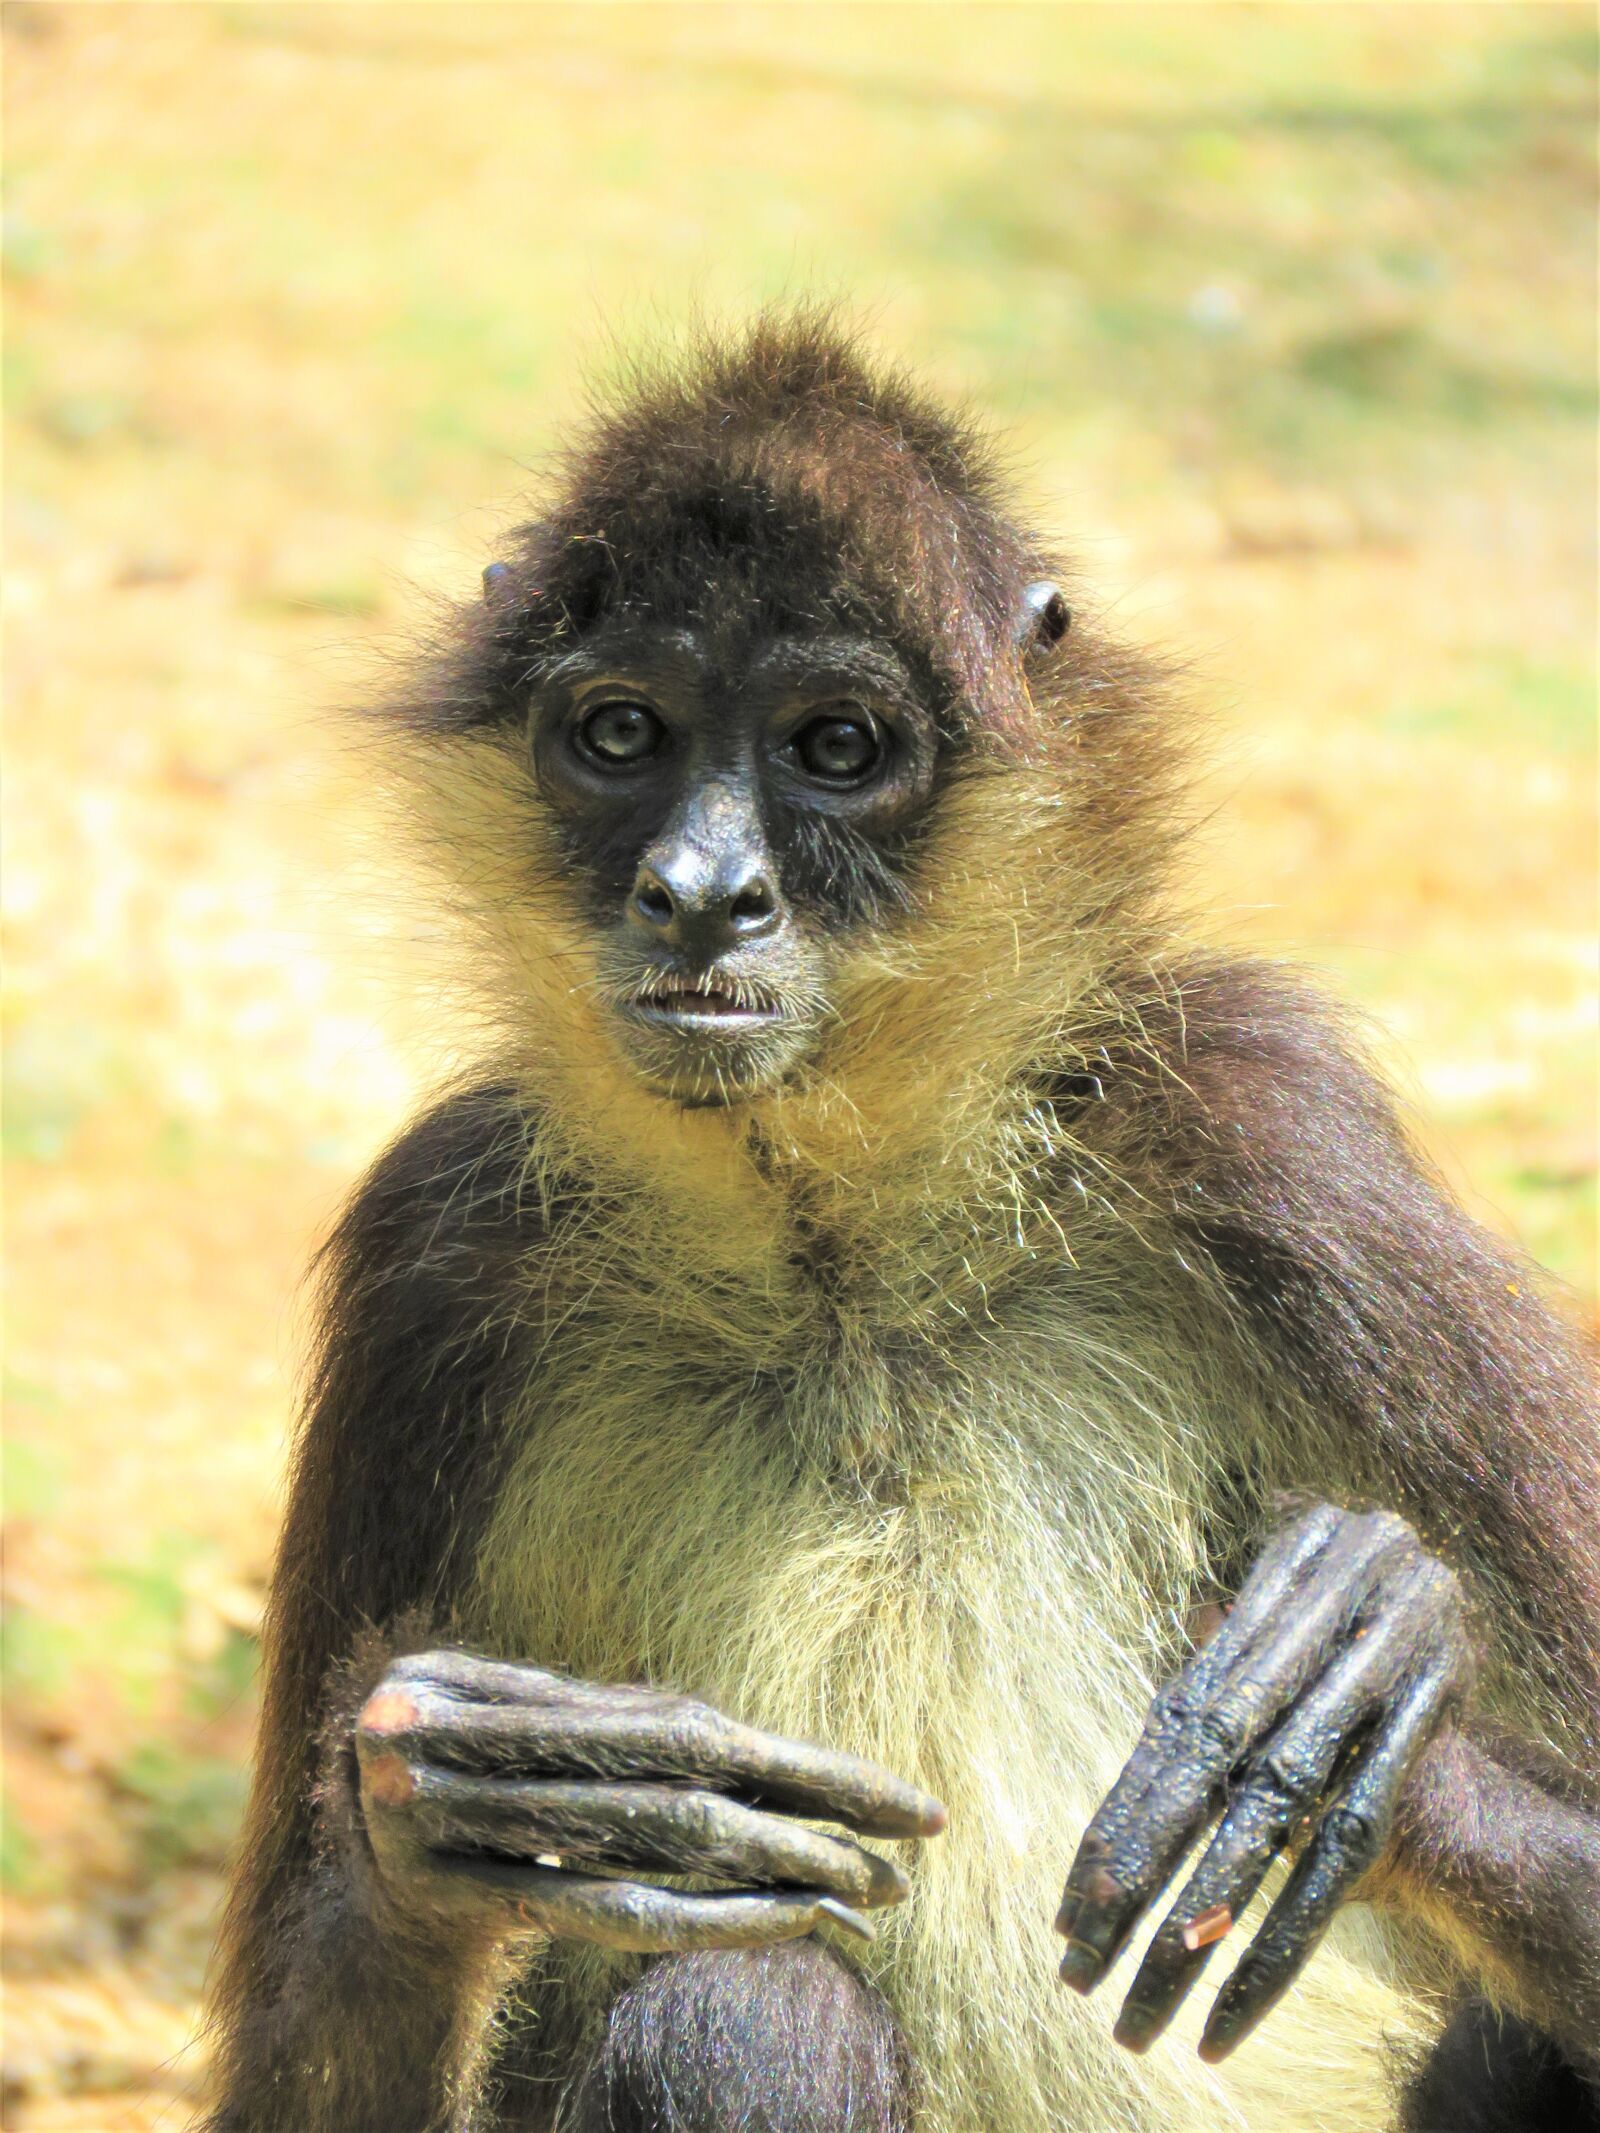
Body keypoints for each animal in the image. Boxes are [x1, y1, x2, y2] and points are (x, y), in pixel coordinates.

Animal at [202, 311, 1600, 2133]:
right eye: (621, 733)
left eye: (836, 749)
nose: (702, 893)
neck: (837, 1271)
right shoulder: (440, 1254)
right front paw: (447, 1799)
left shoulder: (1267, 1142)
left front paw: (1369, 1679)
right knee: (747, 2007)